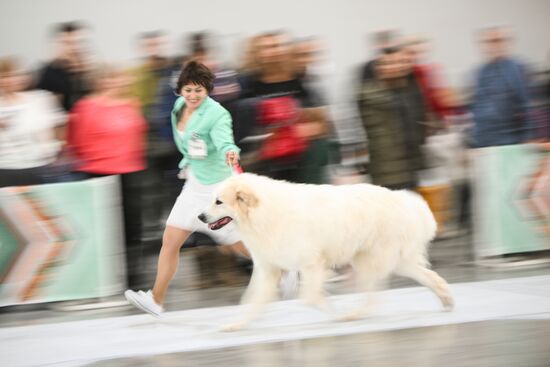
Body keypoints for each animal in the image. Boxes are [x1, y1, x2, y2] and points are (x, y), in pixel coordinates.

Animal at [201, 174, 454, 332]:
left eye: (218, 202)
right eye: (212, 200)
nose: (200, 217)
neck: (262, 214)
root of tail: (404, 201)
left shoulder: (310, 263)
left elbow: (309, 297)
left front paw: (331, 308)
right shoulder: (268, 270)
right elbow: (251, 302)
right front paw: (236, 325)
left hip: (371, 262)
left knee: (373, 296)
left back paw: (353, 315)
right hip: (392, 260)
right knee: (428, 277)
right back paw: (446, 299)